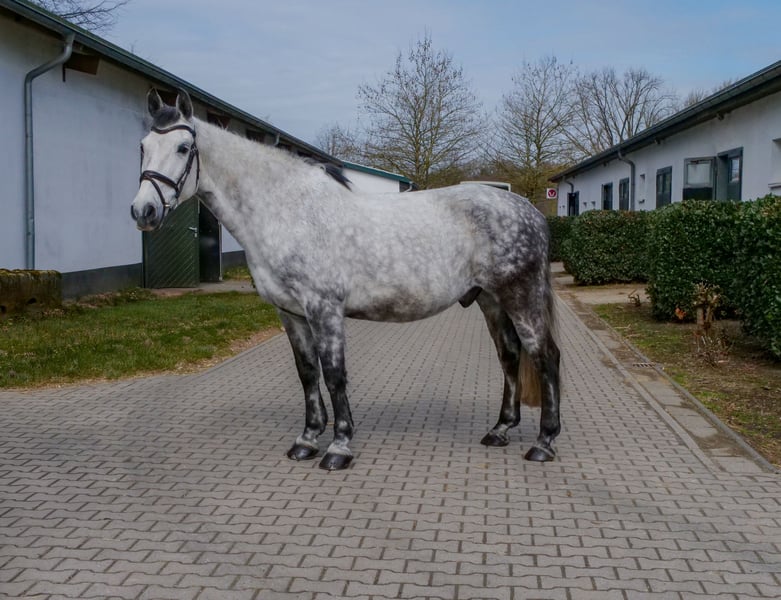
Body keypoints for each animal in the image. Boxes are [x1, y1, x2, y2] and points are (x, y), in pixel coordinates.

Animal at [130, 89, 561, 471]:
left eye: (183, 148)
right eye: (142, 147)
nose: (143, 211)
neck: (289, 212)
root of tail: (529, 211)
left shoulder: (325, 309)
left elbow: (335, 375)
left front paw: (339, 447)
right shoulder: (290, 313)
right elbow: (308, 373)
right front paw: (306, 440)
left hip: (519, 296)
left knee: (545, 356)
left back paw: (544, 443)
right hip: (490, 299)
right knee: (510, 355)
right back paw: (500, 430)